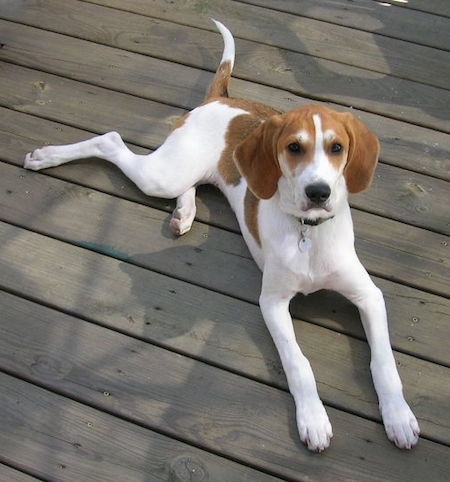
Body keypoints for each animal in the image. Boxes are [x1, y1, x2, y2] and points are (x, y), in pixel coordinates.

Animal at [24, 19, 420, 452]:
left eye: (337, 147)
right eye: (294, 148)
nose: (318, 192)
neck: (307, 233)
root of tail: (219, 100)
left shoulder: (369, 295)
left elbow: (384, 361)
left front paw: (398, 415)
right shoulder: (272, 302)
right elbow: (298, 363)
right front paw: (313, 419)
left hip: (185, 172)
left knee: (189, 183)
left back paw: (184, 213)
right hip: (163, 174)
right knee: (110, 140)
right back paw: (47, 156)